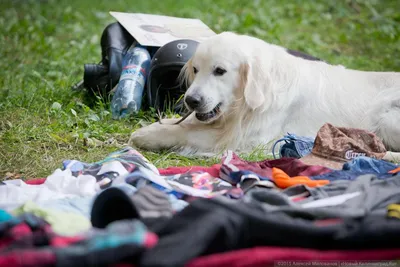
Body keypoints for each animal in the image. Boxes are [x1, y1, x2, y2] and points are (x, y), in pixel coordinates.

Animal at [127, 31, 400, 157]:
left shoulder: (250, 140)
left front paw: (149, 135)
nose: (191, 101)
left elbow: (191, 133)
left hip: (386, 117)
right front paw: (156, 126)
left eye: (220, 71)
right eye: (196, 69)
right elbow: (184, 123)